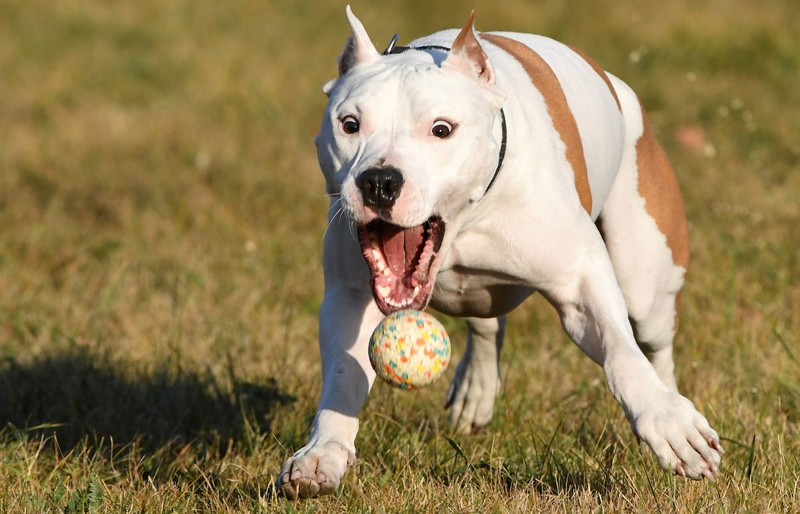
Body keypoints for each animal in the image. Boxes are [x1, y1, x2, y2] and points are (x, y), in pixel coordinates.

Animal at [278, 7, 720, 496]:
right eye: (350, 125)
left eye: (442, 129)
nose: (379, 181)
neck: (465, 223)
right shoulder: (349, 296)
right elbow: (344, 373)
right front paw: (322, 454)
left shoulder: (580, 283)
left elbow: (621, 353)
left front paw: (666, 421)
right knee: (488, 325)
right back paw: (476, 387)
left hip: (647, 279)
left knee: (653, 342)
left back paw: (669, 399)